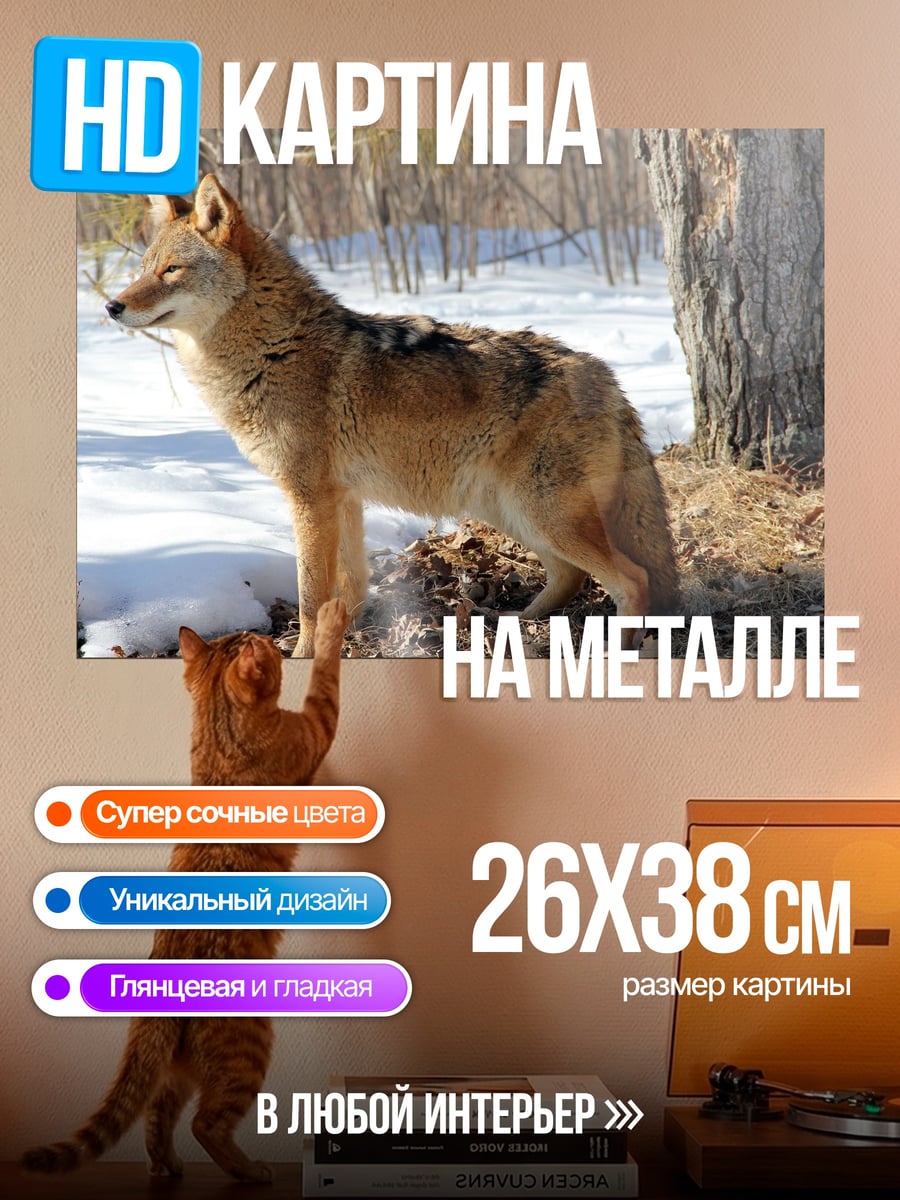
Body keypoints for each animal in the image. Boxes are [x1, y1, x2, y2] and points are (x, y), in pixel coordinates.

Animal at [106, 174, 678, 656]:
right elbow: (349, 585)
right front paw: (344, 637)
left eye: (171, 270)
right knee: (569, 576)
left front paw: (301, 655)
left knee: (632, 579)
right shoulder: (344, 499)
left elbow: (311, 595)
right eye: (143, 268)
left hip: (540, 512)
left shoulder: (310, 499)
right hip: (510, 510)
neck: (275, 349)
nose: (112, 306)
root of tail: (605, 376)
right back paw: (514, 624)